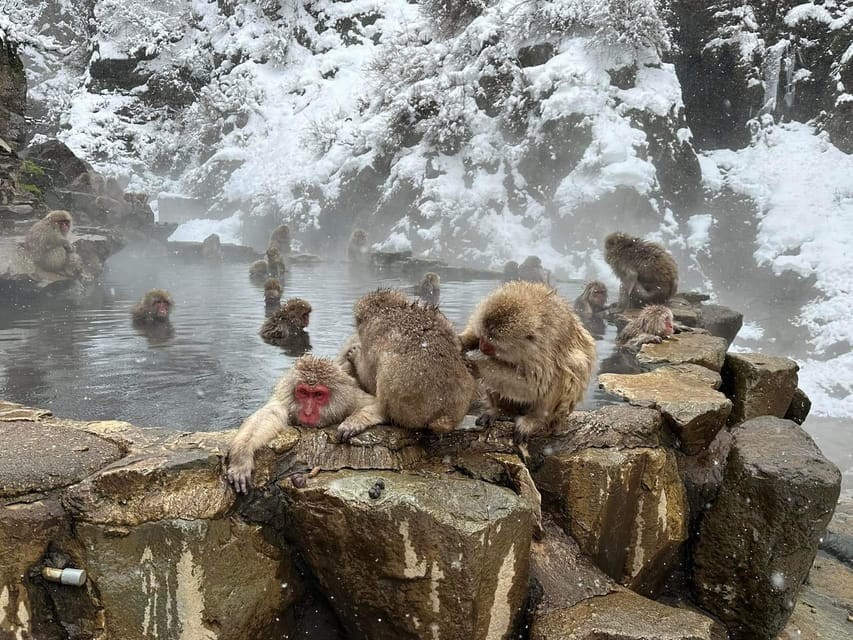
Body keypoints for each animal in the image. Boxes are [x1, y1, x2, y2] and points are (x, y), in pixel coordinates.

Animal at [226, 356, 381, 493]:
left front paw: (355, 422)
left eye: (318, 395)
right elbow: (268, 415)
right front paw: (242, 456)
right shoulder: (285, 399)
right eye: (303, 392)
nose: (307, 412)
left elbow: (378, 405)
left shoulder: (350, 399)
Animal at [336, 289, 478, 441]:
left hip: (406, 408)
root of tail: (445, 417)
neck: (390, 308)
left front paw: (355, 355)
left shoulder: (371, 333)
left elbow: (368, 375)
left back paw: (378, 413)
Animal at [459, 281, 596, 444]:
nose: (482, 346)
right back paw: (500, 410)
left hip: (559, 413)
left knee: (566, 370)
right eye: (483, 336)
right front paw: (461, 341)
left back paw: (536, 419)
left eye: (491, 343)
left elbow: (535, 386)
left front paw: (476, 365)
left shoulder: (541, 351)